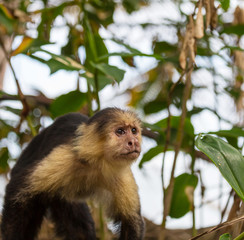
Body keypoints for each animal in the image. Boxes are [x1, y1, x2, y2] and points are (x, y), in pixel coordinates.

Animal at [0, 107, 145, 240]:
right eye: (120, 131)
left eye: (133, 131)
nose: (133, 142)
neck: (97, 163)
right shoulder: (65, 156)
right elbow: (17, 191)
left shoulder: (122, 174)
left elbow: (131, 222)